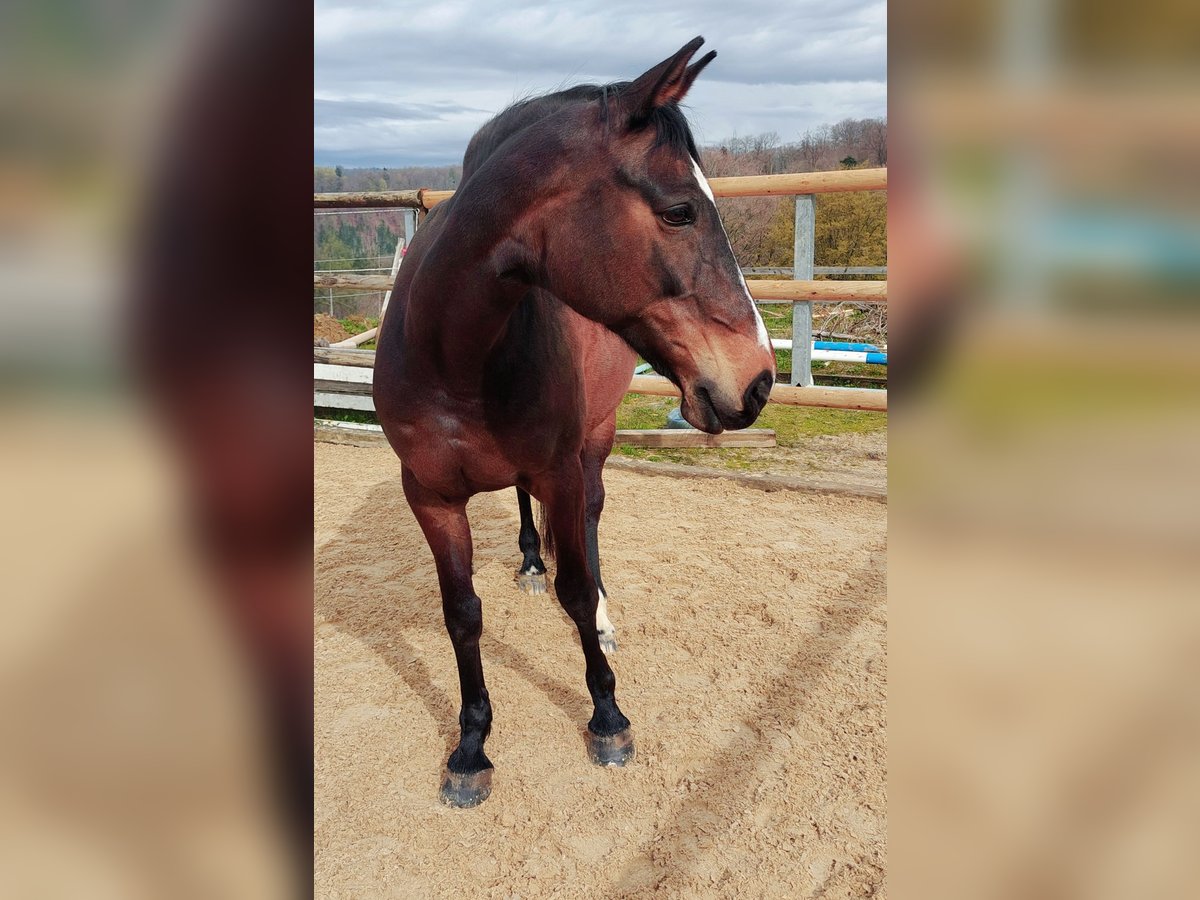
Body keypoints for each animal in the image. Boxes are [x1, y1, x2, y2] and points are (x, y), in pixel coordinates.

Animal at [369, 37, 777, 811]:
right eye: (679, 211)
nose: (759, 380)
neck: (451, 353)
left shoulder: (560, 468)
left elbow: (579, 589)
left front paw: (608, 714)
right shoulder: (429, 496)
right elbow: (461, 613)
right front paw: (471, 746)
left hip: (595, 442)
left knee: (589, 523)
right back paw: (533, 559)